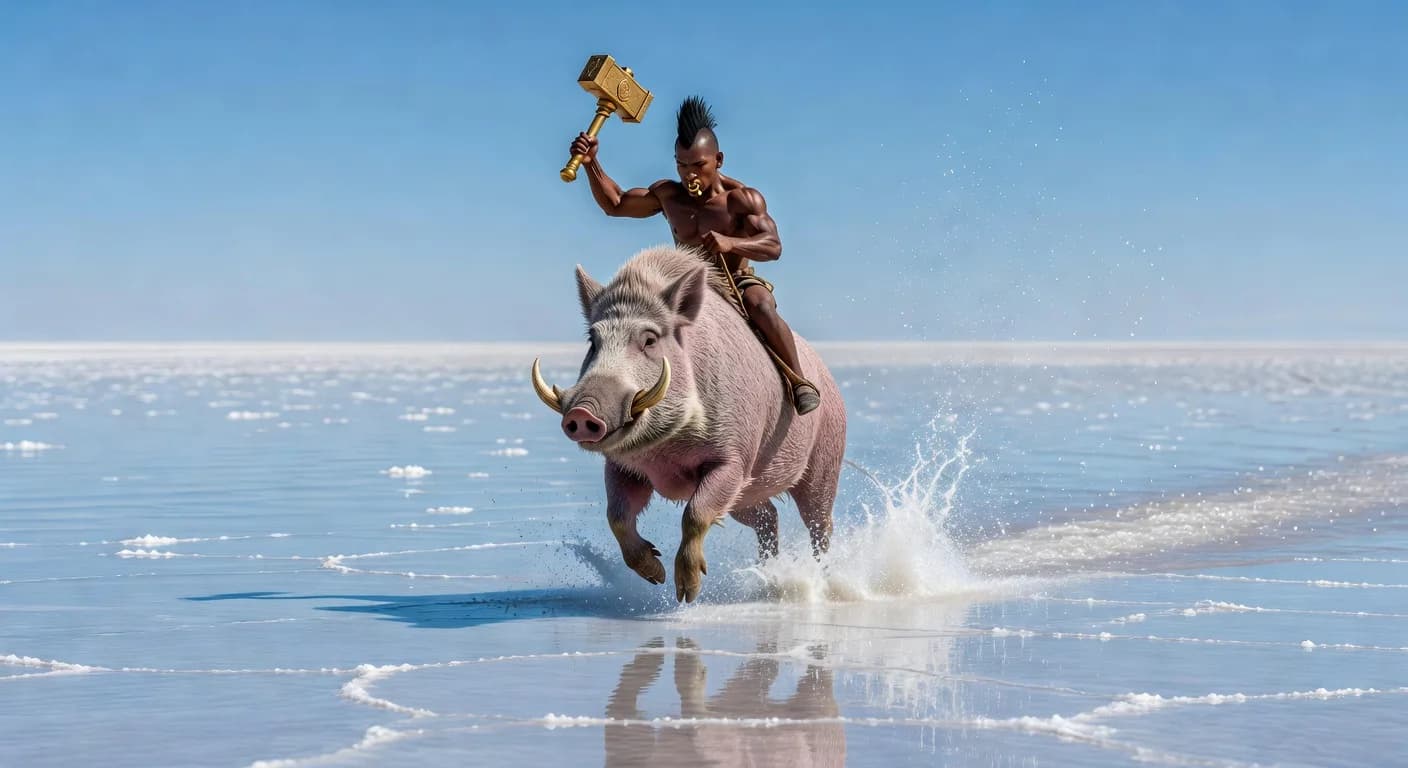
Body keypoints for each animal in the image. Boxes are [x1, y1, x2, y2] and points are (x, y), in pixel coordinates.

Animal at [531, 243, 847, 603]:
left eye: (650, 340)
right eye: (592, 341)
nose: (582, 413)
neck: (666, 446)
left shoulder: (734, 459)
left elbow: (695, 513)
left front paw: (687, 593)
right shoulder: (623, 465)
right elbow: (617, 515)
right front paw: (655, 575)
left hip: (825, 458)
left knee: (820, 523)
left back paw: (820, 580)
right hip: (748, 494)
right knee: (768, 516)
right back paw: (767, 576)